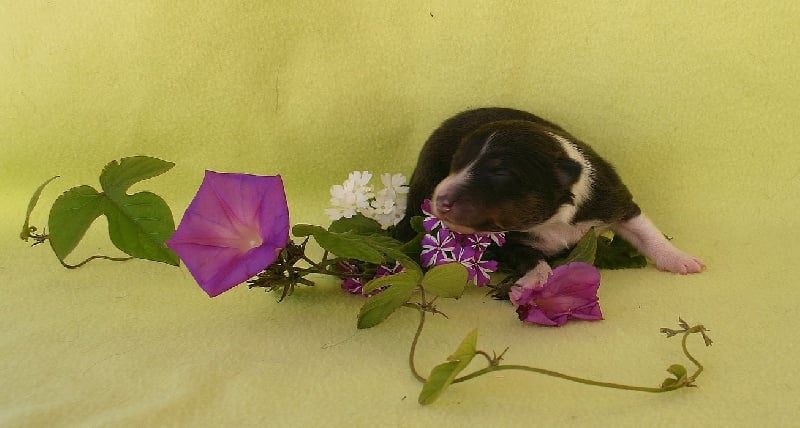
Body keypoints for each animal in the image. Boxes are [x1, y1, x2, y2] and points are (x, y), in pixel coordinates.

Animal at [396, 107, 704, 288]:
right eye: (455, 165)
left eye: (500, 173)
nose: (440, 200)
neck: (555, 218)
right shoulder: (507, 241)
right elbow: (529, 257)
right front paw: (538, 277)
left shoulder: (614, 199)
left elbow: (645, 231)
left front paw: (678, 259)